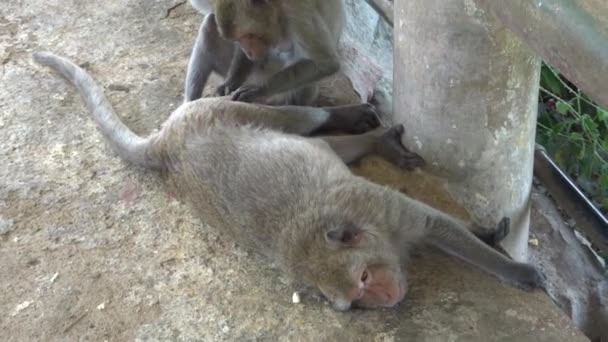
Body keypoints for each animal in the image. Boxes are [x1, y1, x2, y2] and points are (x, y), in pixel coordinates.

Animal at [34, 52, 548, 312]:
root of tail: (165, 141)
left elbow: (436, 224)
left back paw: (355, 123)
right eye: (354, 301)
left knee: (301, 119)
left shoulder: (379, 207)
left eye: (363, 279)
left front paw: (509, 265)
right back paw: (376, 140)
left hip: (218, 110)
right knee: (318, 143)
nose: (388, 299)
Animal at [185, 0, 344, 105]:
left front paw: (258, 90)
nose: (249, 52)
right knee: (210, 23)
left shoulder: (297, 13)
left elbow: (326, 64)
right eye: (238, 39)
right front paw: (231, 83)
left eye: (249, 36)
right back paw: (189, 103)